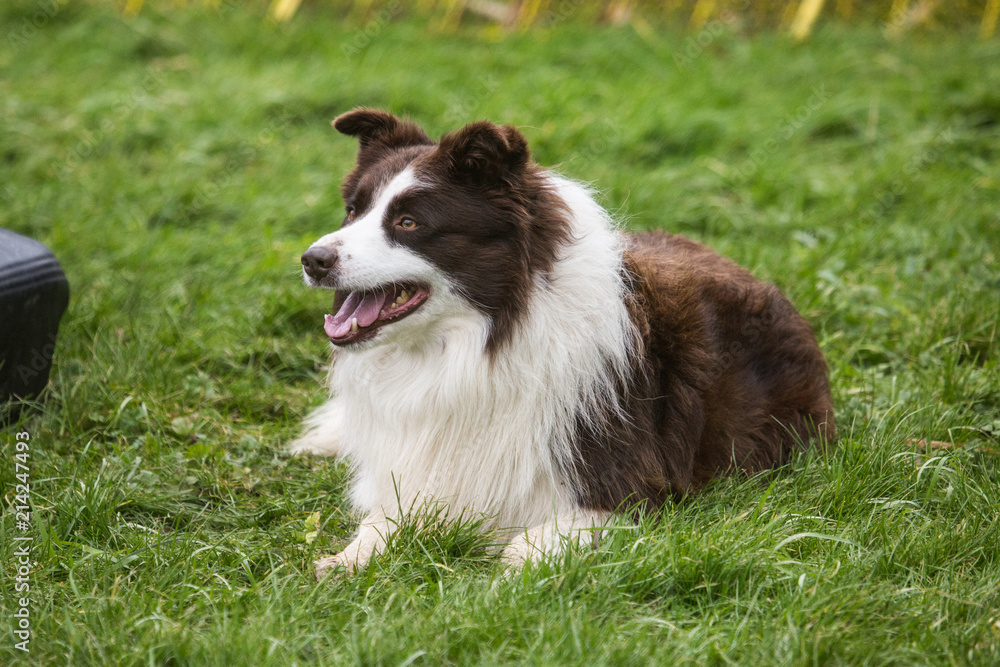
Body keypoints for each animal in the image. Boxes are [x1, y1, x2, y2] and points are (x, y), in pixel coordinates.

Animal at [292, 109, 836, 580]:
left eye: (408, 223)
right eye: (352, 211)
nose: (313, 259)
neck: (476, 343)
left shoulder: (629, 490)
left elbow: (523, 547)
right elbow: (383, 517)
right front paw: (347, 558)